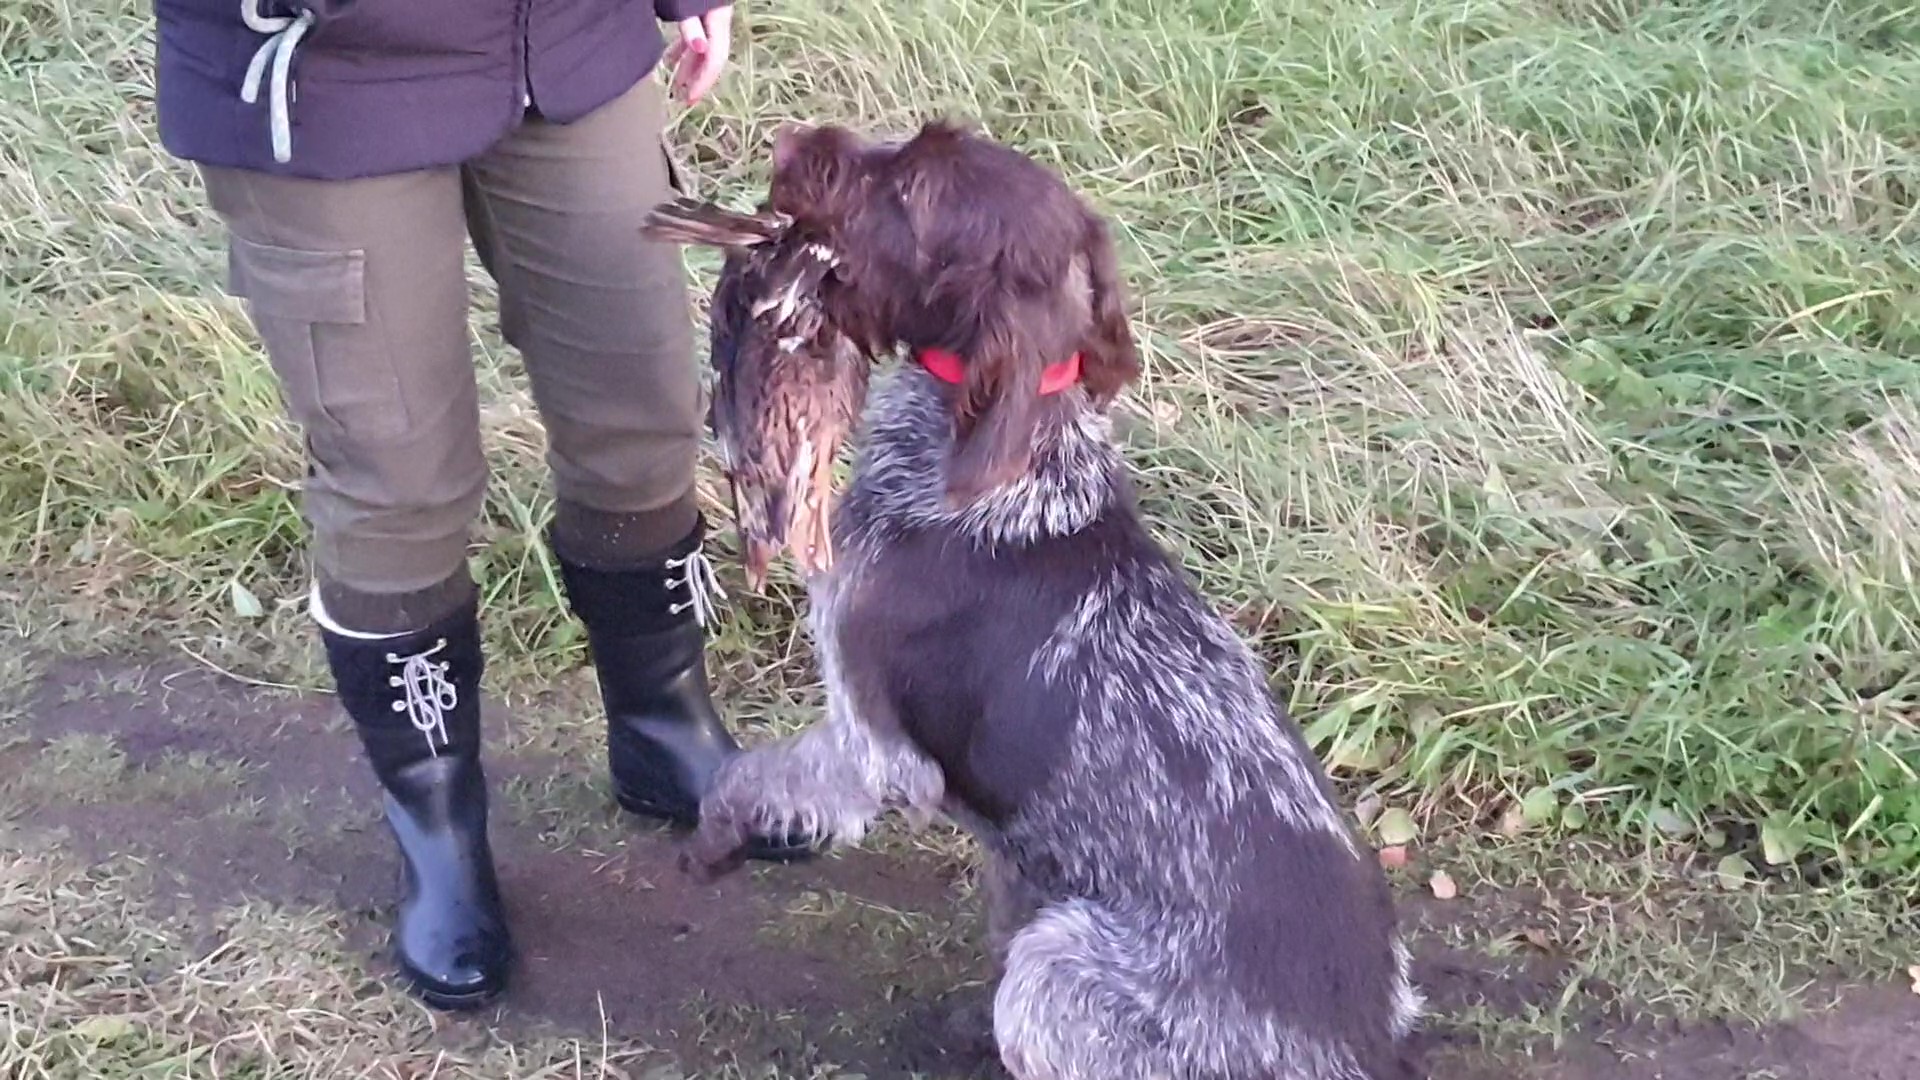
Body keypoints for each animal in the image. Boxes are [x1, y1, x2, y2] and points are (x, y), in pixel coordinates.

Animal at [684, 119, 1425, 1080]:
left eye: (913, 193)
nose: (790, 139)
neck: (1011, 478)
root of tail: (1359, 1051)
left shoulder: (878, 748)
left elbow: (750, 775)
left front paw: (716, 834)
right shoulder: (1015, 856)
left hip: (1061, 963)